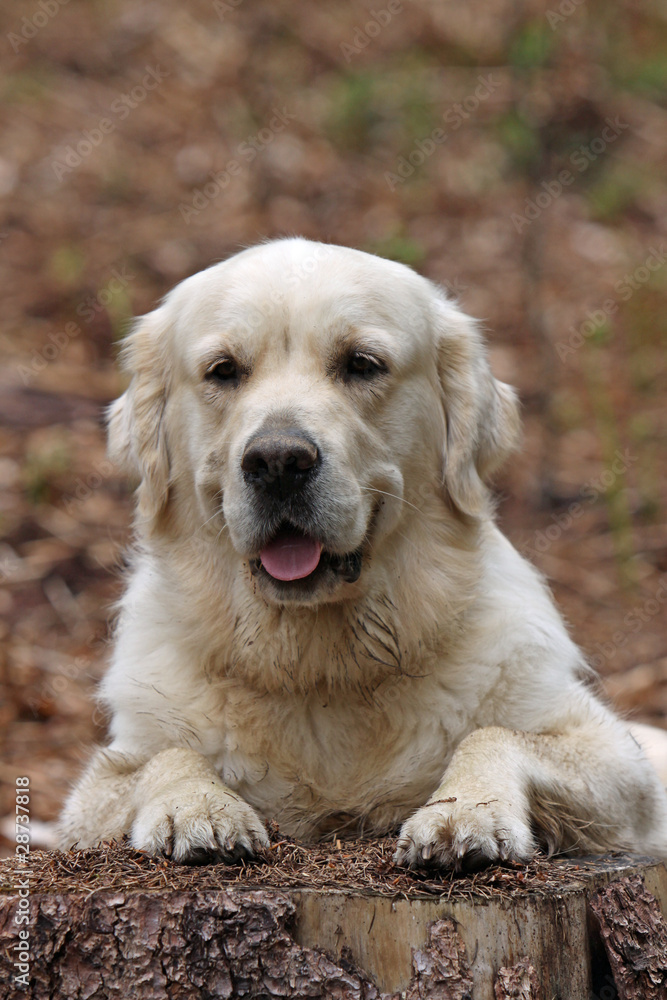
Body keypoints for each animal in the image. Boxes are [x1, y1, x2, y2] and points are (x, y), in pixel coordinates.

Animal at [58, 236, 667, 868]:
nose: (278, 461)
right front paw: (200, 808)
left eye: (361, 364)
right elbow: (165, 755)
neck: (323, 672)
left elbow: (493, 733)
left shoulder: (621, 767)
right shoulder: (92, 794)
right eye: (223, 371)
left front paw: (467, 813)